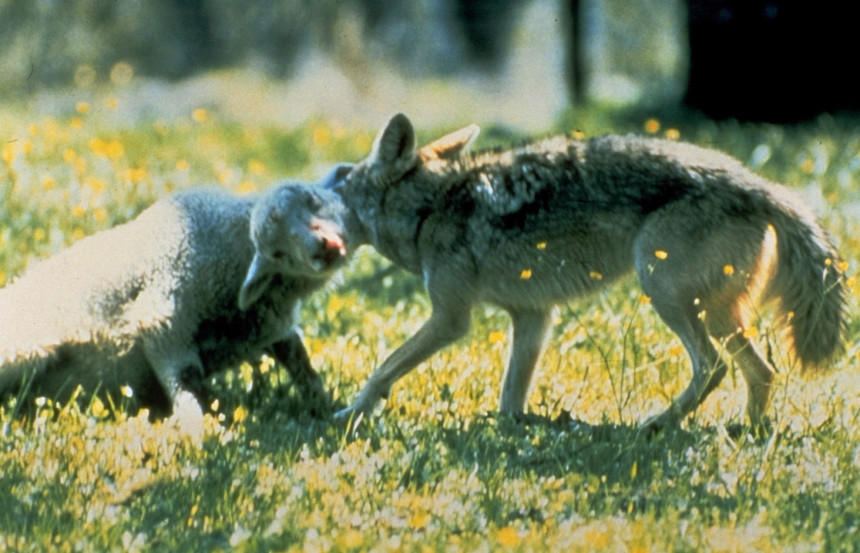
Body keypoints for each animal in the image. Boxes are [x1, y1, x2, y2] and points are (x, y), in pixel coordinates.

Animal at [0, 167, 354, 422]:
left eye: (312, 200)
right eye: (277, 252)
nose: (323, 247)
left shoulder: (264, 325)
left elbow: (300, 361)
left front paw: (328, 410)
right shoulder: (165, 318)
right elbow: (184, 384)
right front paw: (200, 432)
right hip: (23, 350)